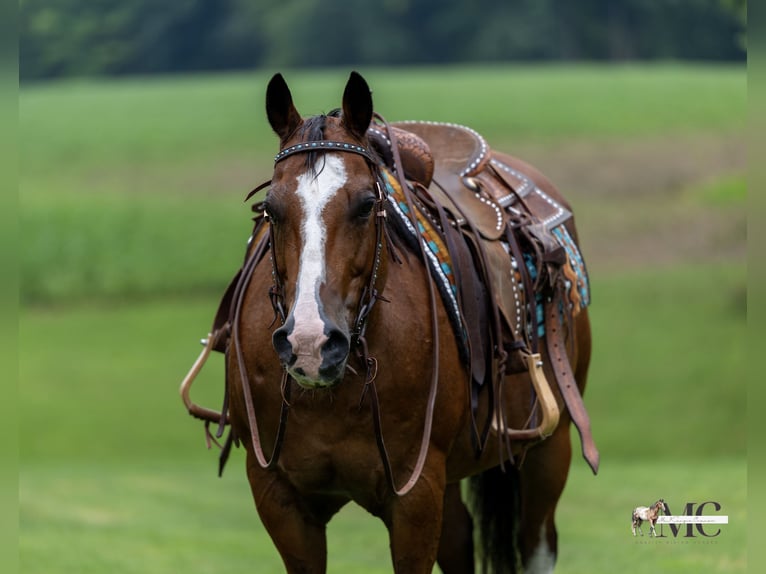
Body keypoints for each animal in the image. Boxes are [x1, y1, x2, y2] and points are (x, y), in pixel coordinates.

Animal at [181, 71, 598, 573]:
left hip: (549, 449)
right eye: (270, 209)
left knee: (537, 542)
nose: (310, 344)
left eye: (365, 204)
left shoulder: (416, 495)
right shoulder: (280, 498)